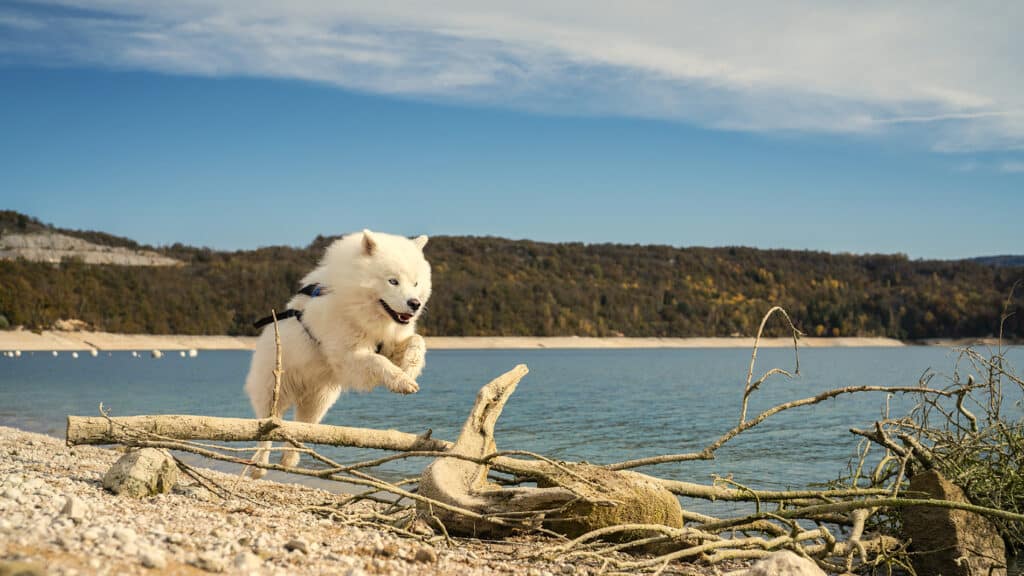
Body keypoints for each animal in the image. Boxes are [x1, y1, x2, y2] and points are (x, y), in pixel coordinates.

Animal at [246, 228, 432, 475]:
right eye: (393, 281)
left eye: (416, 283)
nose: (415, 303)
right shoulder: (347, 356)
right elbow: (377, 362)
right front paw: (401, 382)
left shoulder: (389, 344)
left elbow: (416, 342)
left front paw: (410, 370)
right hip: (274, 390)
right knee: (266, 429)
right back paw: (260, 467)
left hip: (318, 400)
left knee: (300, 428)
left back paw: (290, 459)